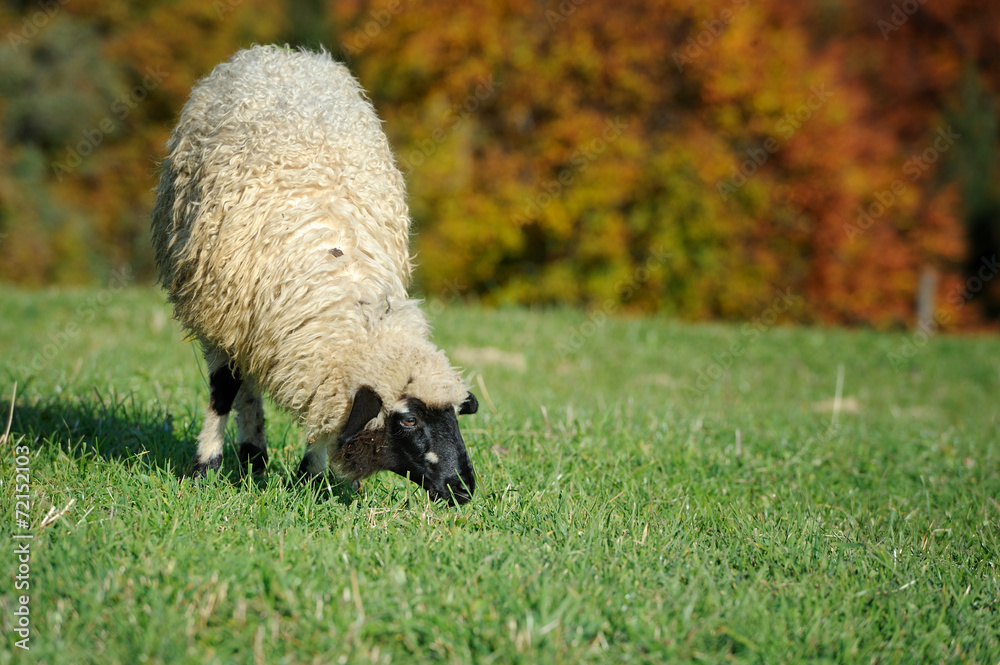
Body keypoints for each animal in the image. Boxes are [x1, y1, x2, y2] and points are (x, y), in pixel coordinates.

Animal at [150, 45, 482, 504]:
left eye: (453, 416)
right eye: (409, 420)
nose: (463, 488)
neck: (342, 277)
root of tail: (284, 55)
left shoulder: (313, 353)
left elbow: (325, 413)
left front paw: (311, 477)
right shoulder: (223, 315)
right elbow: (223, 392)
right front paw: (204, 468)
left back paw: (254, 460)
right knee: (244, 385)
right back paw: (251, 455)